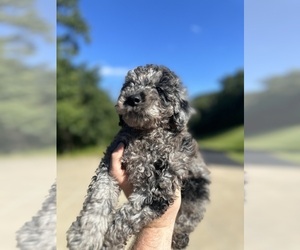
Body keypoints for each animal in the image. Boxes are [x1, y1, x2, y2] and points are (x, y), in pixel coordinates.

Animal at [67, 65, 210, 250]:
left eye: (159, 89)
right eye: (129, 84)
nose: (132, 98)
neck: (145, 133)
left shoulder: (160, 187)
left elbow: (127, 216)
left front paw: (107, 242)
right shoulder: (109, 166)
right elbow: (99, 197)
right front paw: (85, 236)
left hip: (197, 189)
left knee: (188, 218)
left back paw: (179, 238)